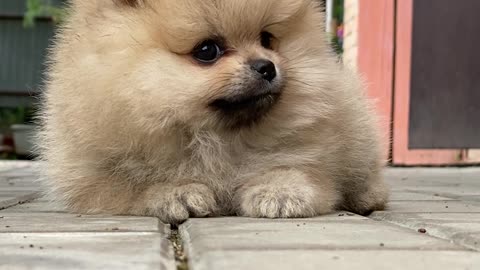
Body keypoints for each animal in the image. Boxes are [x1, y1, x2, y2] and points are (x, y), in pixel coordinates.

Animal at [39, 0, 388, 224]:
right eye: (207, 50)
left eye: (267, 39)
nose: (267, 66)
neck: (213, 136)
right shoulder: (92, 177)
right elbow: (129, 187)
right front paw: (175, 192)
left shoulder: (308, 151)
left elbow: (294, 169)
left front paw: (279, 191)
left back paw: (367, 198)